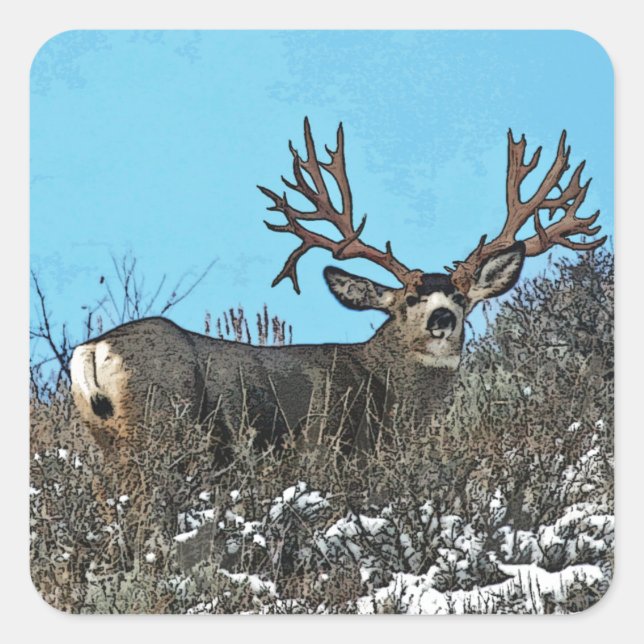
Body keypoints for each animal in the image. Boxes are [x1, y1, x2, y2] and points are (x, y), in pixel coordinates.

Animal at [70, 118, 605, 471]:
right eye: (408, 299)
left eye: (462, 298)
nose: (442, 320)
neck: (386, 393)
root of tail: (95, 348)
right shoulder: (331, 451)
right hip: (160, 427)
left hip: (109, 442)